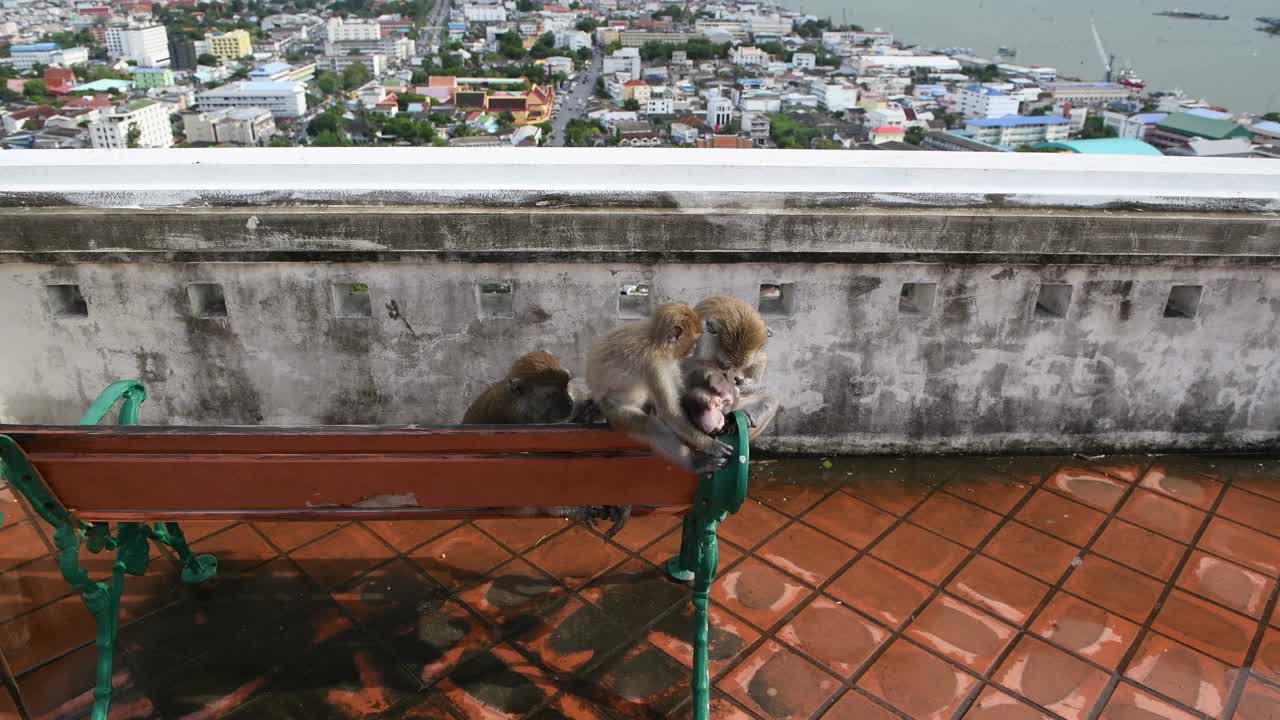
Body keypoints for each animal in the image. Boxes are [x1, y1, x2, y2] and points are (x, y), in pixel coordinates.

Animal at [586, 301, 732, 471]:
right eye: (694, 340)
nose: (694, 349)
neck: (656, 342)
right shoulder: (653, 363)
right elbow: (670, 412)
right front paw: (709, 444)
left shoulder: (669, 359)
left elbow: (680, 394)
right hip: (613, 409)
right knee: (651, 425)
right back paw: (694, 464)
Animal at [691, 294, 778, 440]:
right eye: (724, 365)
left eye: (740, 365)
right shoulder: (703, 345)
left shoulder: (756, 350)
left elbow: (760, 362)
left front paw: (749, 385)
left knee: (770, 397)